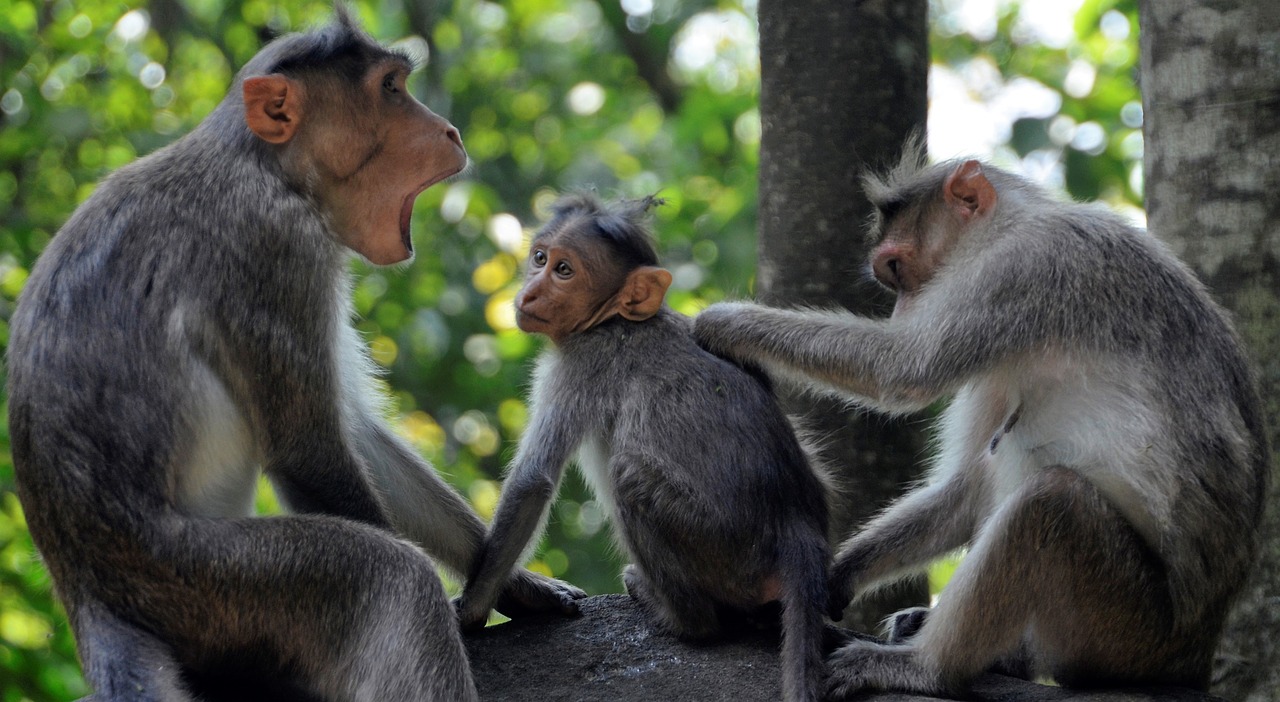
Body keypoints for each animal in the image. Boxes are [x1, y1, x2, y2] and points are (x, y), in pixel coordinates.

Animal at [5, 9, 583, 702]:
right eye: (391, 89)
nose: (449, 130)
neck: (266, 166)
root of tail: (89, 594)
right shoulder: (277, 246)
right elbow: (309, 449)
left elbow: (355, 430)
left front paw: (510, 585)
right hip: (205, 582)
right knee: (389, 577)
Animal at [458, 193, 829, 702]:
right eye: (539, 258)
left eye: (564, 270)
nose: (530, 293)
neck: (612, 317)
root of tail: (796, 525)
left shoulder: (579, 362)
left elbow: (534, 481)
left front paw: (472, 610)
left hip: (727, 552)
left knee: (629, 474)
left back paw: (678, 616)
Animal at [696, 147, 1264, 696]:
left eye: (896, 269)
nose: (901, 310)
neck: (1018, 220)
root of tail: (1195, 654)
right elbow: (967, 485)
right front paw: (838, 574)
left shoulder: (1021, 268)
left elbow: (904, 368)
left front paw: (727, 322)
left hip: (1131, 631)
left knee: (1050, 502)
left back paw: (928, 668)